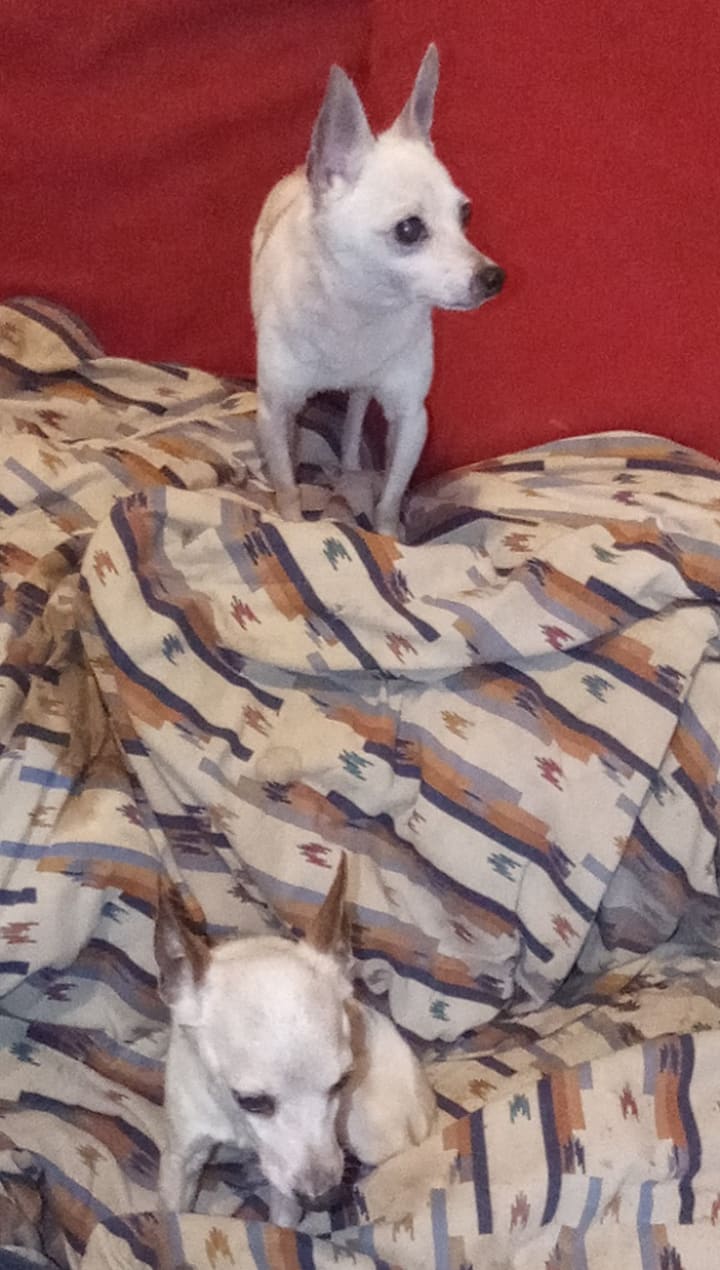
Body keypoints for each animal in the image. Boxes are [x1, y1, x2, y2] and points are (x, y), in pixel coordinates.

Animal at [156, 855, 435, 1226]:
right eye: (251, 1101)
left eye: (342, 1082)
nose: (324, 1199)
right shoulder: (182, 1158)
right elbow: (172, 1215)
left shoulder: (286, 1191)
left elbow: (281, 1225)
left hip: (373, 1133)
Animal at [250, 43, 504, 537]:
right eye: (409, 230)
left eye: (464, 215)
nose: (493, 277)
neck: (362, 311)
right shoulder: (275, 407)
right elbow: (288, 486)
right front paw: (292, 522)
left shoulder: (411, 416)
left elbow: (391, 494)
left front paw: (389, 536)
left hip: (364, 393)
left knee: (354, 414)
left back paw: (349, 466)